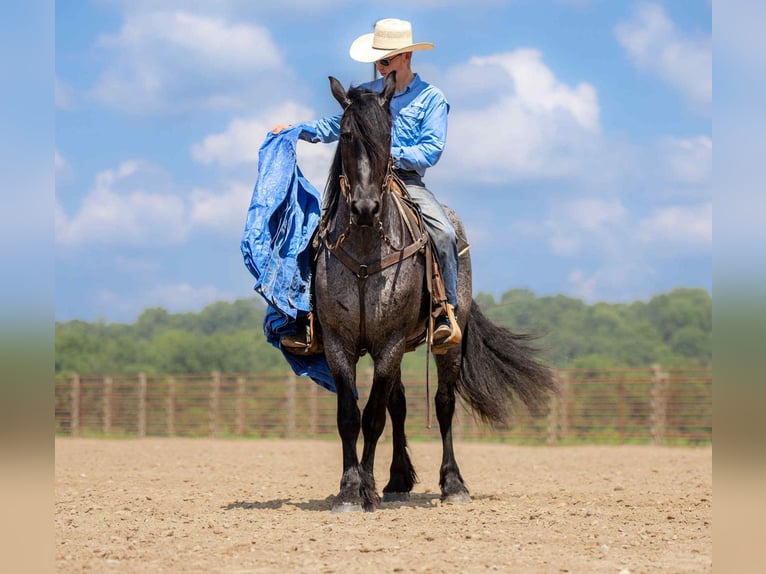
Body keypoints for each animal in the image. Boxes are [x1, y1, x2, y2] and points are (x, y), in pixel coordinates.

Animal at [313, 72, 557, 512]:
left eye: (387, 135)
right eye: (345, 134)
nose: (365, 209)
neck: (364, 253)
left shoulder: (390, 342)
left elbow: (373, 417)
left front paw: (365, 488)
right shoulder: (339, 343)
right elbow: (350, 416)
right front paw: (350, 490)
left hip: (447, 343)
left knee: (443, 404)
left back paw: (453, 484)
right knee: (399, 405)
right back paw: (397, 479)